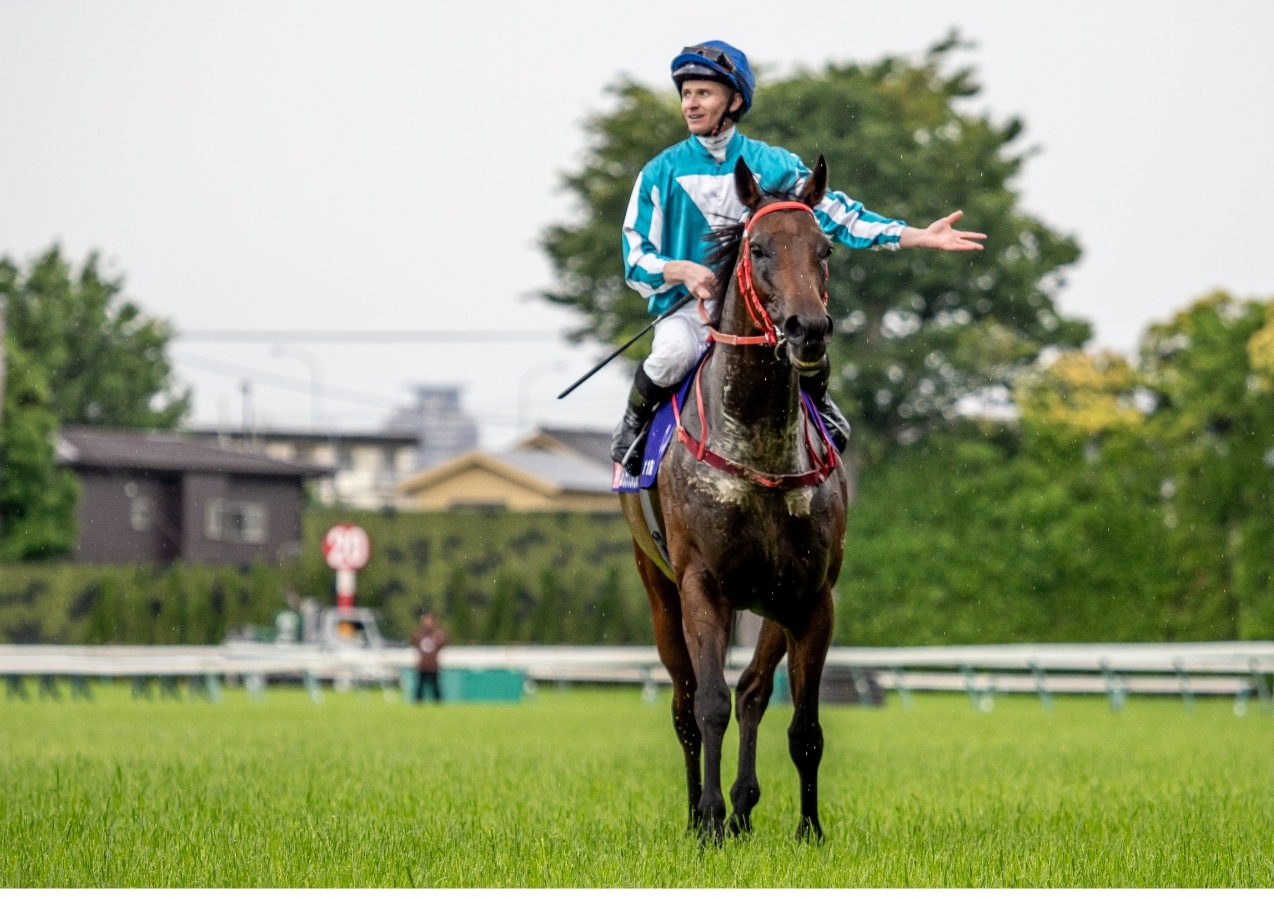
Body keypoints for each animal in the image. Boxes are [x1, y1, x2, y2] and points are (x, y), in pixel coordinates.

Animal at [619, 154, 845, 841]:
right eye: (759, 248)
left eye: (825, 248)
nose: (808, 330)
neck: (759, 453)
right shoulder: (702, 585)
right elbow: (710, 704)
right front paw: (710, 823)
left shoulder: (811, 596)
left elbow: (802, 724)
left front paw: (808, 830)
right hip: (658, 588)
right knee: (687, 703)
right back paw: (702, 810)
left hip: (770, 602)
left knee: (751, 692)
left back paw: (744, 805)